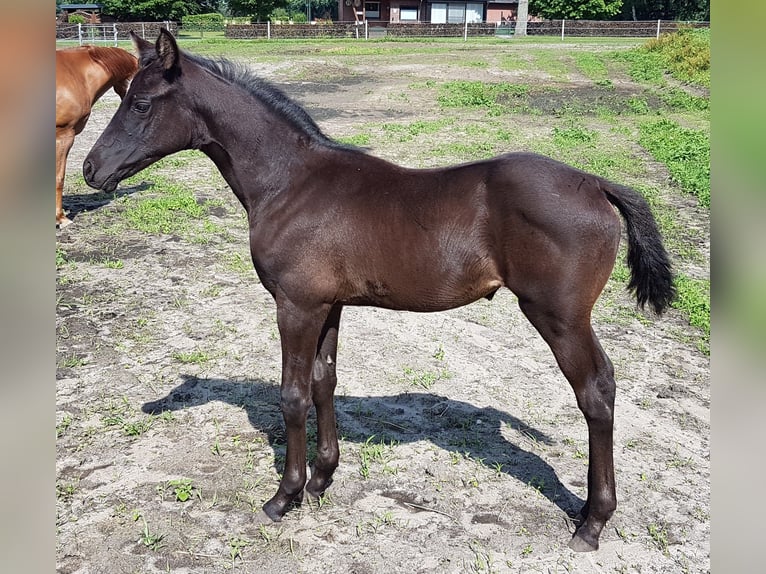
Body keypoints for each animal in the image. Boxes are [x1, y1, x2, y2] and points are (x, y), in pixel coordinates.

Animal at [81, 31, 676, 552]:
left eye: (140, 103)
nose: (90, 169)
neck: (290, 183)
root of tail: (596, 183)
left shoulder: (295, 306)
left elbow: (292, 395)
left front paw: (284, 496)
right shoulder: (328, 305)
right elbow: (324, 383)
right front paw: (322, 479)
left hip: (559, 316)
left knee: (596, 391)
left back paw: (592, 522)